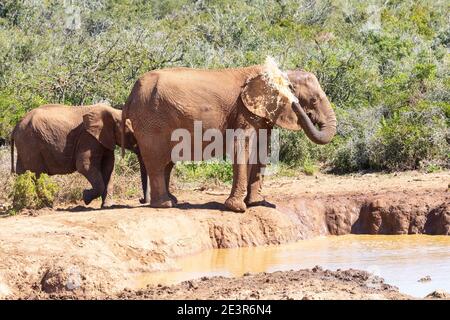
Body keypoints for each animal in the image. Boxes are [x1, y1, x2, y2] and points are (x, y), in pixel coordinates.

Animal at [11, 103, 144, 208]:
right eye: (131, 133)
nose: (141, 200)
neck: (113, 112)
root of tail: (15, 127)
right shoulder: (88, 138)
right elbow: (84, 166)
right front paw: (85, 197)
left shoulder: (104, 139)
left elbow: (108, 167)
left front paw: (107, 206)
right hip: (30, 143)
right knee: (36, 174)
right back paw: (46, 206)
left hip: (25, 145)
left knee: (21, 173)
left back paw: (19, 206)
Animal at [121, 59, 336, 212]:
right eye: (313, 100)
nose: (296, 104)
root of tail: (130, 95)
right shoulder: (244, 111)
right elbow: (242, 146)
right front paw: (238, 208)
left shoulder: (259, 114)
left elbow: (261, 150)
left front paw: (256, 203)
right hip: (152, 120)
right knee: (158, 161)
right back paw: (165, 204)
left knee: (167, 162)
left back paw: (172, 200)